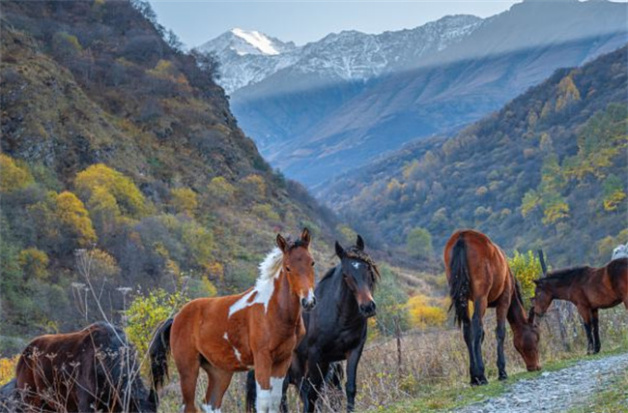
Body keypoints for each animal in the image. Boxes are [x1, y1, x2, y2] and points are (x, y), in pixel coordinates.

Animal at [150, 229, 316, 412]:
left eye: (312, 263)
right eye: (288, 267)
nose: (308, 301)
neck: (274, 311)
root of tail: (176, 317)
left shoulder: (282, 360)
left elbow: (274, 402)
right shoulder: (262, 359)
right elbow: (263, 402)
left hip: (220, 371)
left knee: (210, 403)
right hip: (188, 368)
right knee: (189, 406)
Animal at [247, 235, 380, 412]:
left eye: (368, 269)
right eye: (346, 275)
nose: (367, 307)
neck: (339, 318)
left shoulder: (353, 351)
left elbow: (350, 388)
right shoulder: (315, 356)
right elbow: (312, 395)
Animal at [444, 229, 544, 384]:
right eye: (536, 338)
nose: (536, 366)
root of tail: (462, 236)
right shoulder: (504, 300)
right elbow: (500, 332)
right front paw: (502, 371)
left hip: (463, 298)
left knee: (467, 329)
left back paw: (474, 377)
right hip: (481, 297)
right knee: (476, 326)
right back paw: (481, 375)